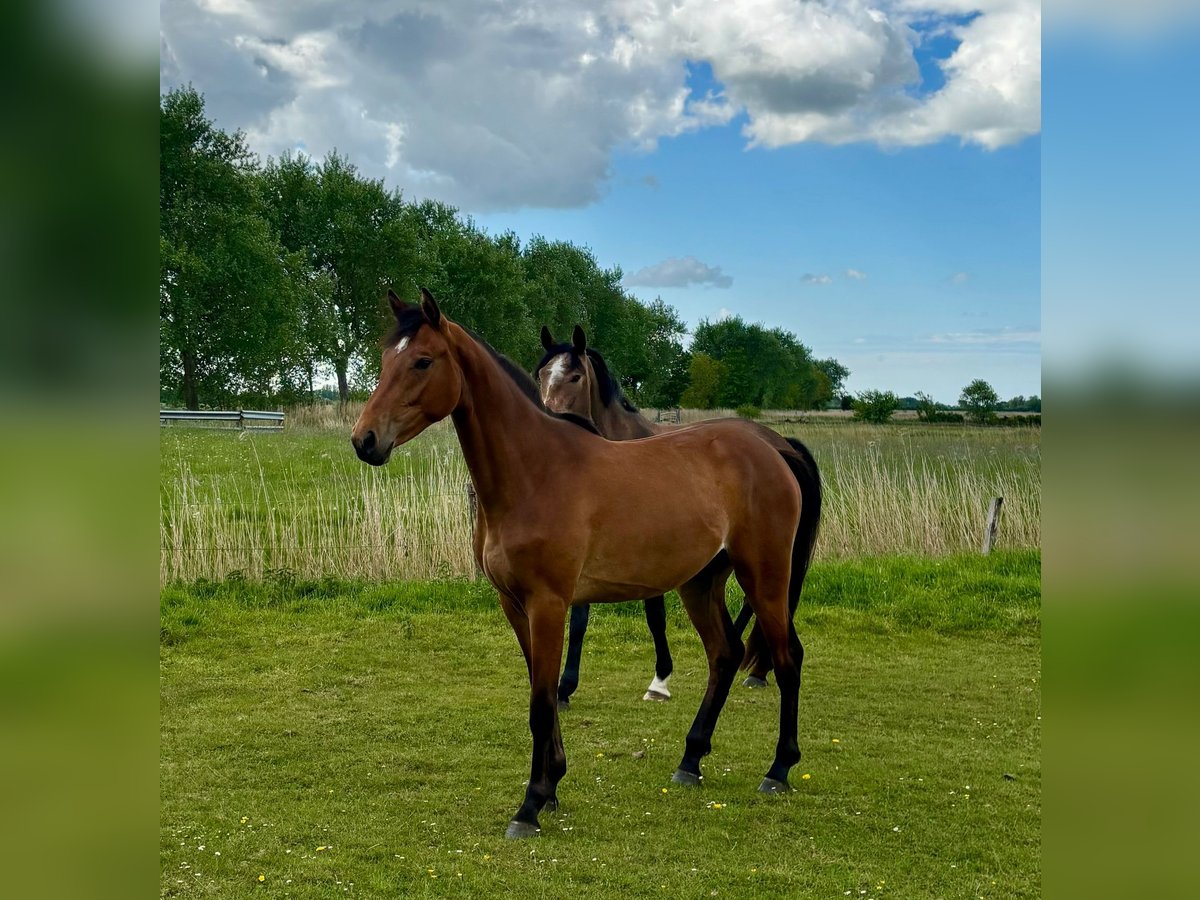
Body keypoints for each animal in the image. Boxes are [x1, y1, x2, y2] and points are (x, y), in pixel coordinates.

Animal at [535, 325, 822, 690]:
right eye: (542, 374)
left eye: (575, 377)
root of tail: (782, 444)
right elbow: (581, 618)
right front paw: (566, 685)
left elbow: (652, 616)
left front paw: (659, 676)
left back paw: (753, 667)